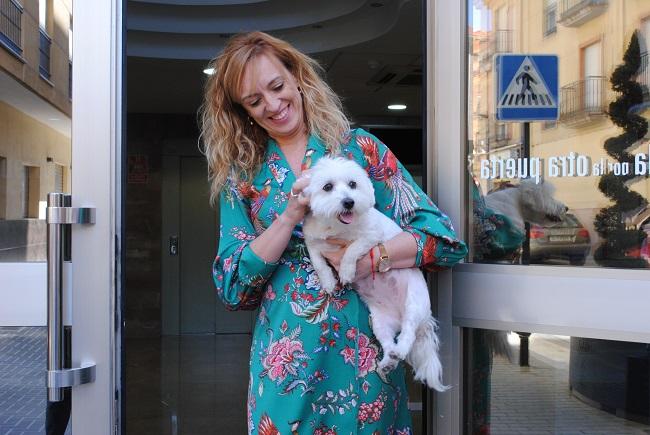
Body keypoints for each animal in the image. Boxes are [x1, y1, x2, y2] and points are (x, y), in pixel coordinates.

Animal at [302, 157, 446, 392]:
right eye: (327, 187)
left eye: (352, 184)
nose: (349, 202)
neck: (335, 226)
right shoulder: (312, 242)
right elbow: (319, 264)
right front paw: (329, 282)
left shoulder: (371, 237)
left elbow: (352, 250)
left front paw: (346, 271)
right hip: (379, 323)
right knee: (388, 342)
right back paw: (388, 360)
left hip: (414, 306)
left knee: (408, 334)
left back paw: (400, 349)